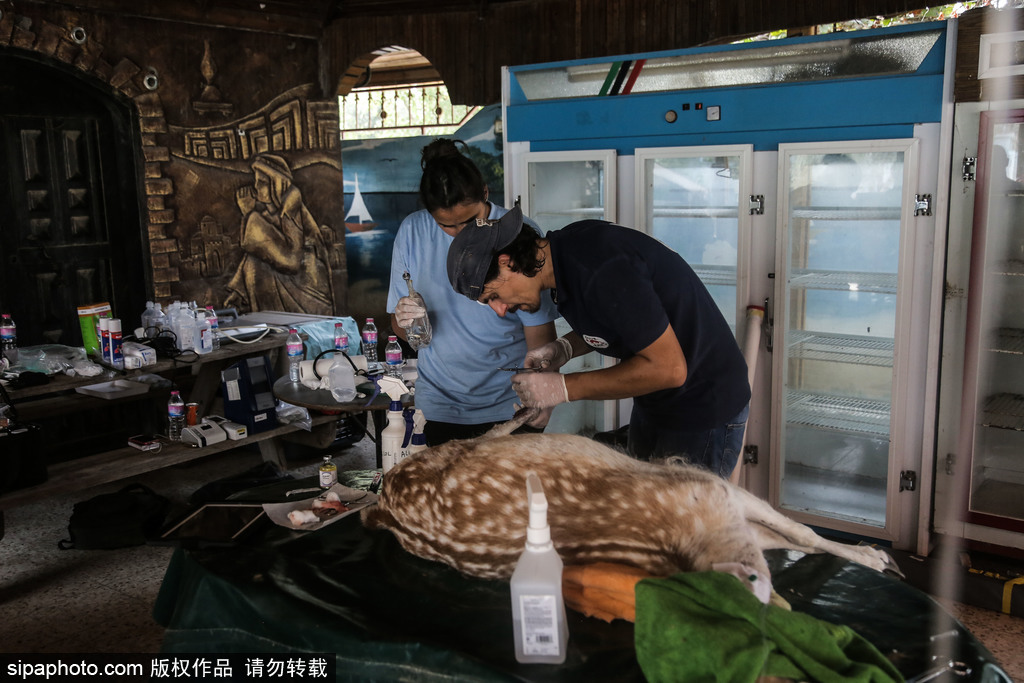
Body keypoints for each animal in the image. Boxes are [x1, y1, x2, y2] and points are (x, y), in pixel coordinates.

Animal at [358, 409, 897, 585]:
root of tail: (381, 505)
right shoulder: (705, 484)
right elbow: (801, 531)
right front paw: (875, 557)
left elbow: (790, 537)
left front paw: (872, 558)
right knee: (490, 430)